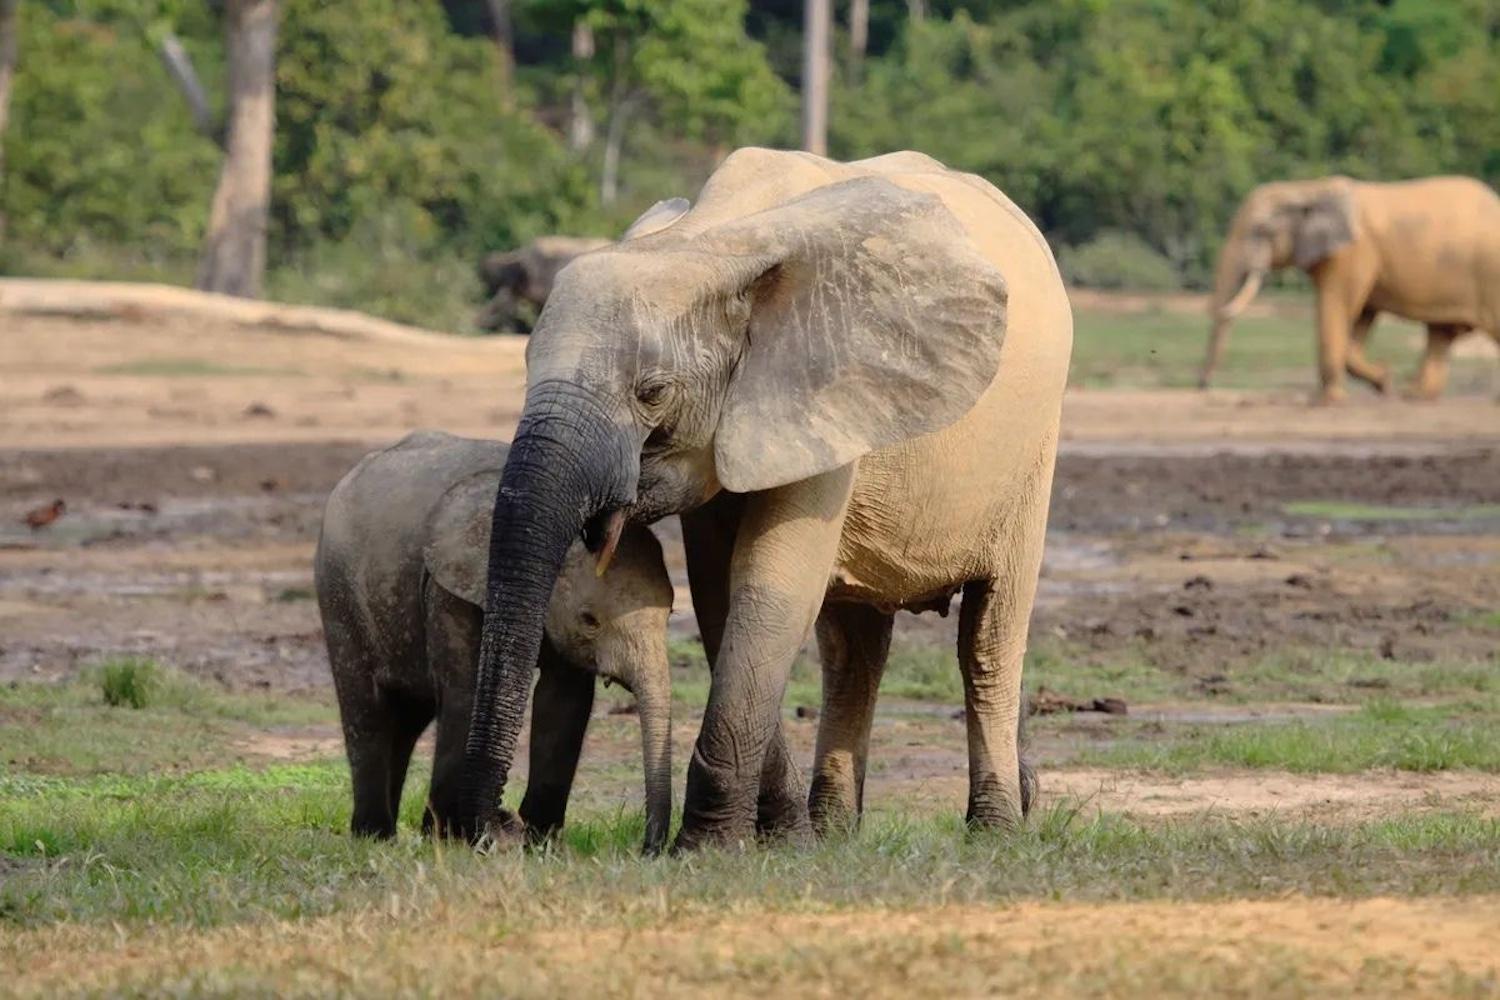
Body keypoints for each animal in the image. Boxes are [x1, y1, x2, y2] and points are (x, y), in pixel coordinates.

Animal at [314, 430, 675, 852]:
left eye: (671, 614)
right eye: (590, 621)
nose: (648, 848)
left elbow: (564, 701)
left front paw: (540, 843)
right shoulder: (451, 587)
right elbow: (465, 690)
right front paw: (452, 837)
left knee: (407, 718)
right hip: (337, 590)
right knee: (367, 710)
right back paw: (374, 835)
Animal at [444, 147, 1072, 851]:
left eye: (653, 392)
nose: (500, 829)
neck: (706, 245)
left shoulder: (818, 388)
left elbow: (768, 585)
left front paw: (709, 849)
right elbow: (721, 597)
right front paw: (778, 840)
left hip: (1033, 452)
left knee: (989, 636)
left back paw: (995, 830)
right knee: (851, 653)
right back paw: (833, 832)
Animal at [1200, 175, 1500, 403]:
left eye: (1261, 230)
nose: (1204, 384)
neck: (1308, 187)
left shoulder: (1352, 254)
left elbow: (1335, 307)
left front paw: (1328, 400)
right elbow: (1361, 318)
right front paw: (1384, 380)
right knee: (1441, 333)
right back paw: (1414, 395)